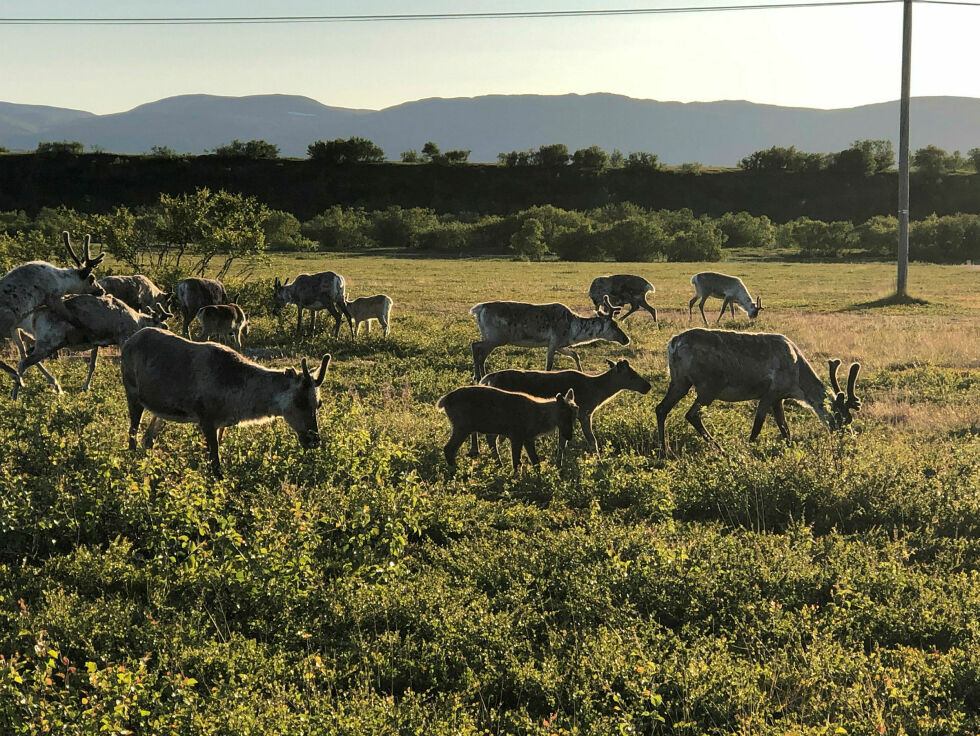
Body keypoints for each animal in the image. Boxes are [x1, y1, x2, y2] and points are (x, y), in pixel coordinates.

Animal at [438, 386, 580, 472]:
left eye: (574, 416)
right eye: (564, 415)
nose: (569, 436)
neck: (539, 417)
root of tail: (444, 400)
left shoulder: (528, 438)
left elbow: (535, 461)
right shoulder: (516, 435)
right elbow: (516, 462)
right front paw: (516, 478)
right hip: (462, 426)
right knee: (448, 448)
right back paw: (455, 471)